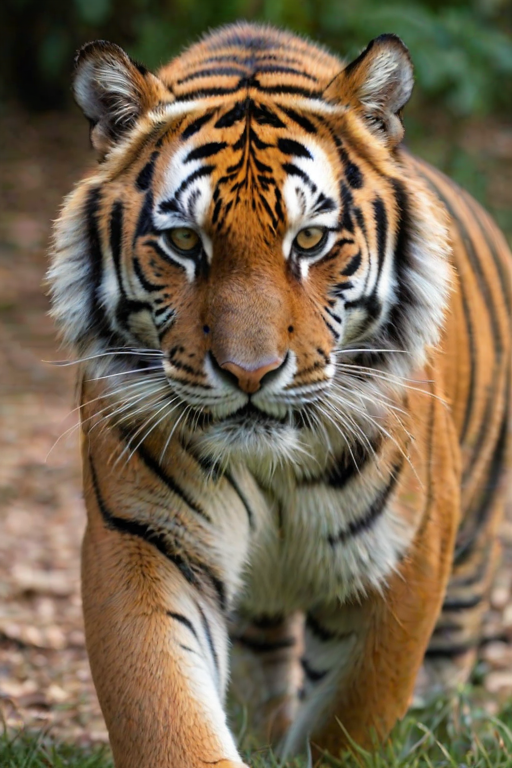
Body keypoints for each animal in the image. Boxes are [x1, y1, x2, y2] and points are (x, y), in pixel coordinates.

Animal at [48, 22, 511, 768]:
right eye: (185, 241)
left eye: (311, 239)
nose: (250, 372)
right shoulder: (144, 538)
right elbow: (165, 709)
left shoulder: (402, 556)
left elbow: (351, 717)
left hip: (471, 547)